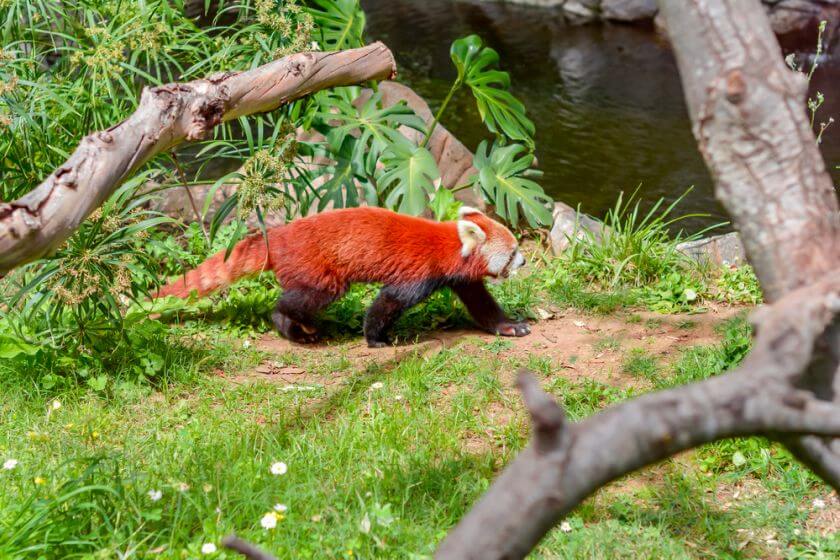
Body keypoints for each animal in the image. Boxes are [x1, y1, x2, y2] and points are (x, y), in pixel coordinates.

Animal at [154, 206, 528, 346]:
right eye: (512, 253)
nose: (524, 262)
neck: (450, 245)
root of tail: (278, 235)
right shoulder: (420, 273)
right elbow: (388, 302)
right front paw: (376, 339)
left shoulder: (459, 277)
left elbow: (481, 303)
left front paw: (510, 326)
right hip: (318, 270)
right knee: (306, 297)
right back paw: (294, 325)